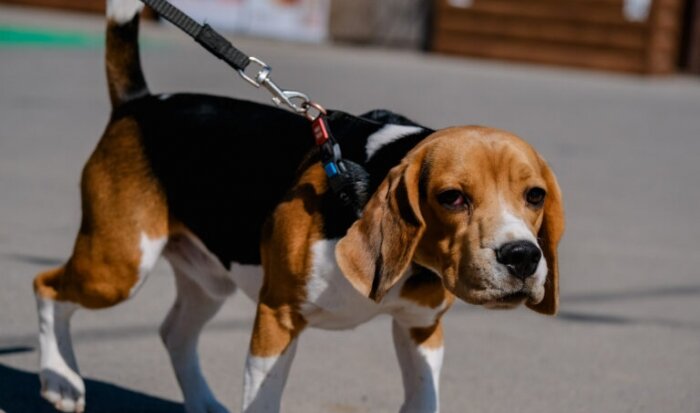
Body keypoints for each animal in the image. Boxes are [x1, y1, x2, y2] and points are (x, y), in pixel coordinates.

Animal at [32, 1, 564, 412]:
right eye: (452, 198)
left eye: (534, 196)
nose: (522, 256)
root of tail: (139, 103)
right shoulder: (278, 317)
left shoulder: (421, 328)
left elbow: (423, 397)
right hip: (120, 264)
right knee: (47, 288)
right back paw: (61, 379)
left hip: (207, 277)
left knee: (174, 333)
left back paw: (199, 400)